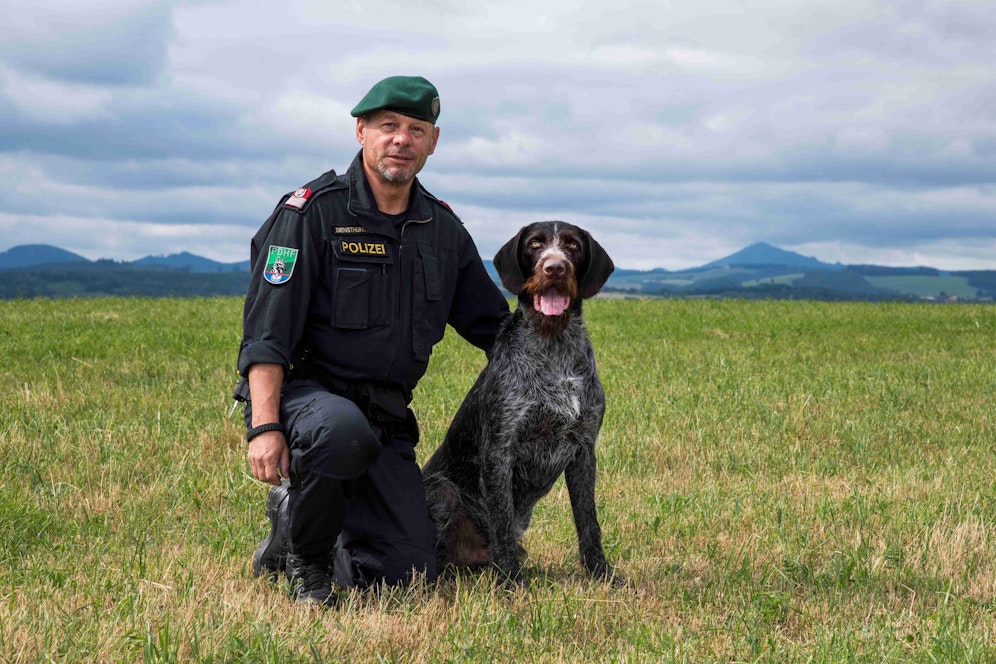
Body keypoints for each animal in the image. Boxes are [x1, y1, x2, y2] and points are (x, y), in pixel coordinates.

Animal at [422, 220, 624, 584]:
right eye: (535, 244)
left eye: (573, 246)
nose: (555, 268)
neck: (553, 345)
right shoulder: (500, 450)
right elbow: (502, 522)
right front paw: (509, 583)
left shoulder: (583, 448)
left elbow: (588, 521)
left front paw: (600, 573)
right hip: (442, 492)